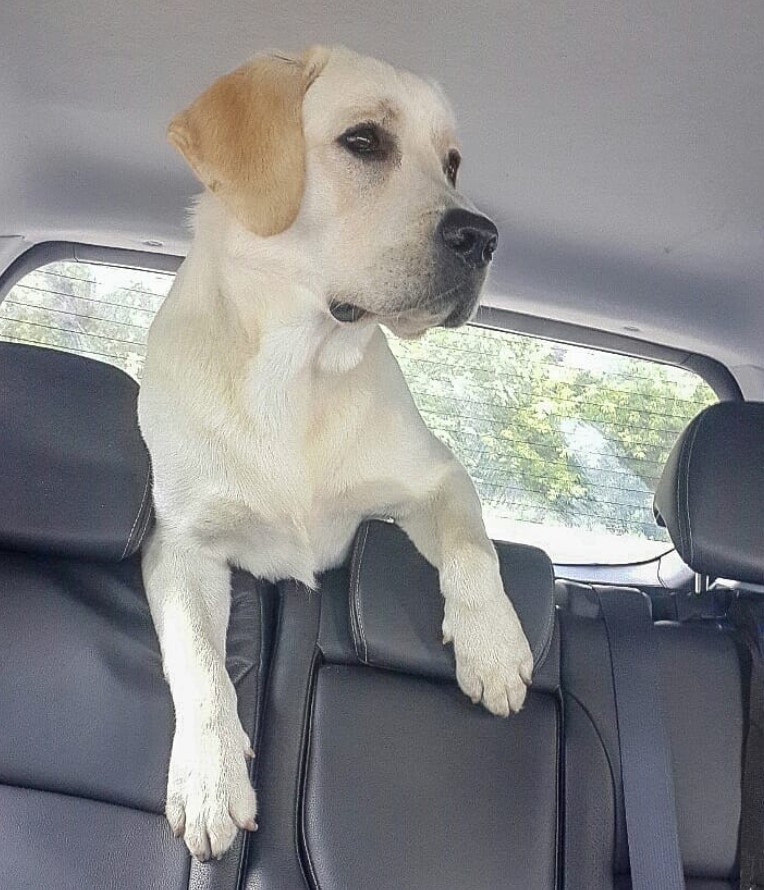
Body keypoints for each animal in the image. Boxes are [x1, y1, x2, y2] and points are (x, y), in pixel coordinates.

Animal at [139, 46, 532, 860]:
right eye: (364, 142)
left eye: (452, 162)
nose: (483, 237)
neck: (297, 373)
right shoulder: (181, 544)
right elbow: (198, 659)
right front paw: (210, 776)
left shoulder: (437, 476)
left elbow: (474, 550)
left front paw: (493, 646)